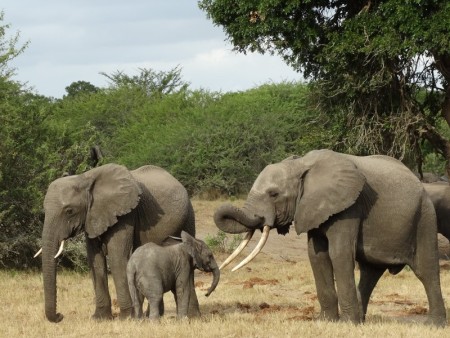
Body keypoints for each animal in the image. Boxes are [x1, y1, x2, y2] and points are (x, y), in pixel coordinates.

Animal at [35, 163, 195, 322]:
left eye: (69, 211)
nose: (60, 316)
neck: (85, 178)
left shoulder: (125, 215)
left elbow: (117, 258)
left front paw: (126, 317)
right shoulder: (92, 216)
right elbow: (95, 260)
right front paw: (99, 318)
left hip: (188, 216)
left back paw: (192, 317)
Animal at [214, 150, 446, 324]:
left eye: (273, 194)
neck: (301, 165)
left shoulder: (349, 207)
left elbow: (339, 253)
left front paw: (347, 324)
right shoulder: (313, 208)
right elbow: (317, 256)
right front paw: (326, 321)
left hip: (424, 216)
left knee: (426, 270)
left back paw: (433, 325)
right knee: (370, 273)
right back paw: (362, 320)